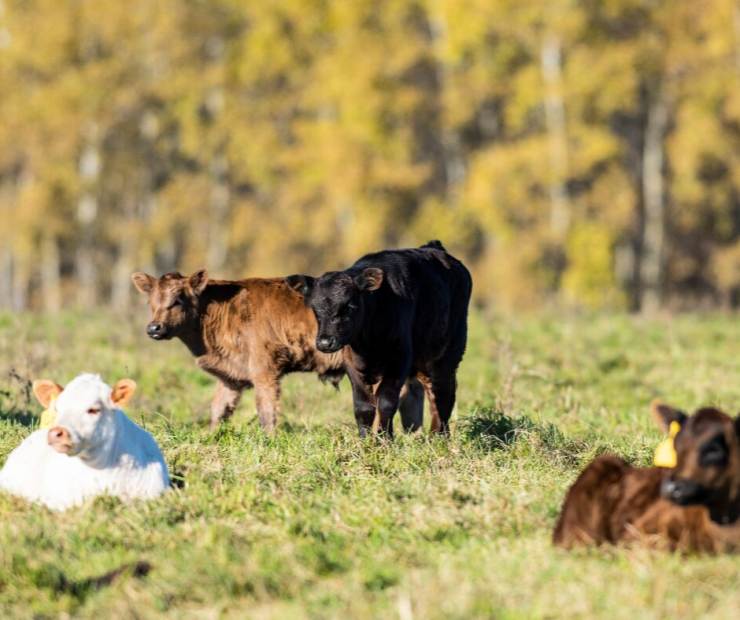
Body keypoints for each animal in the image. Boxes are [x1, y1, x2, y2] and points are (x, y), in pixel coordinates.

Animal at [130, 268, 424, 434]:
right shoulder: (231, 378)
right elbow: (218, 410)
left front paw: (269, 440)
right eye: (150, 301)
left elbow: (266, 411)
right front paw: (210, 438)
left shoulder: (265, 371)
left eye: (178, 300)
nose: (153, 328)